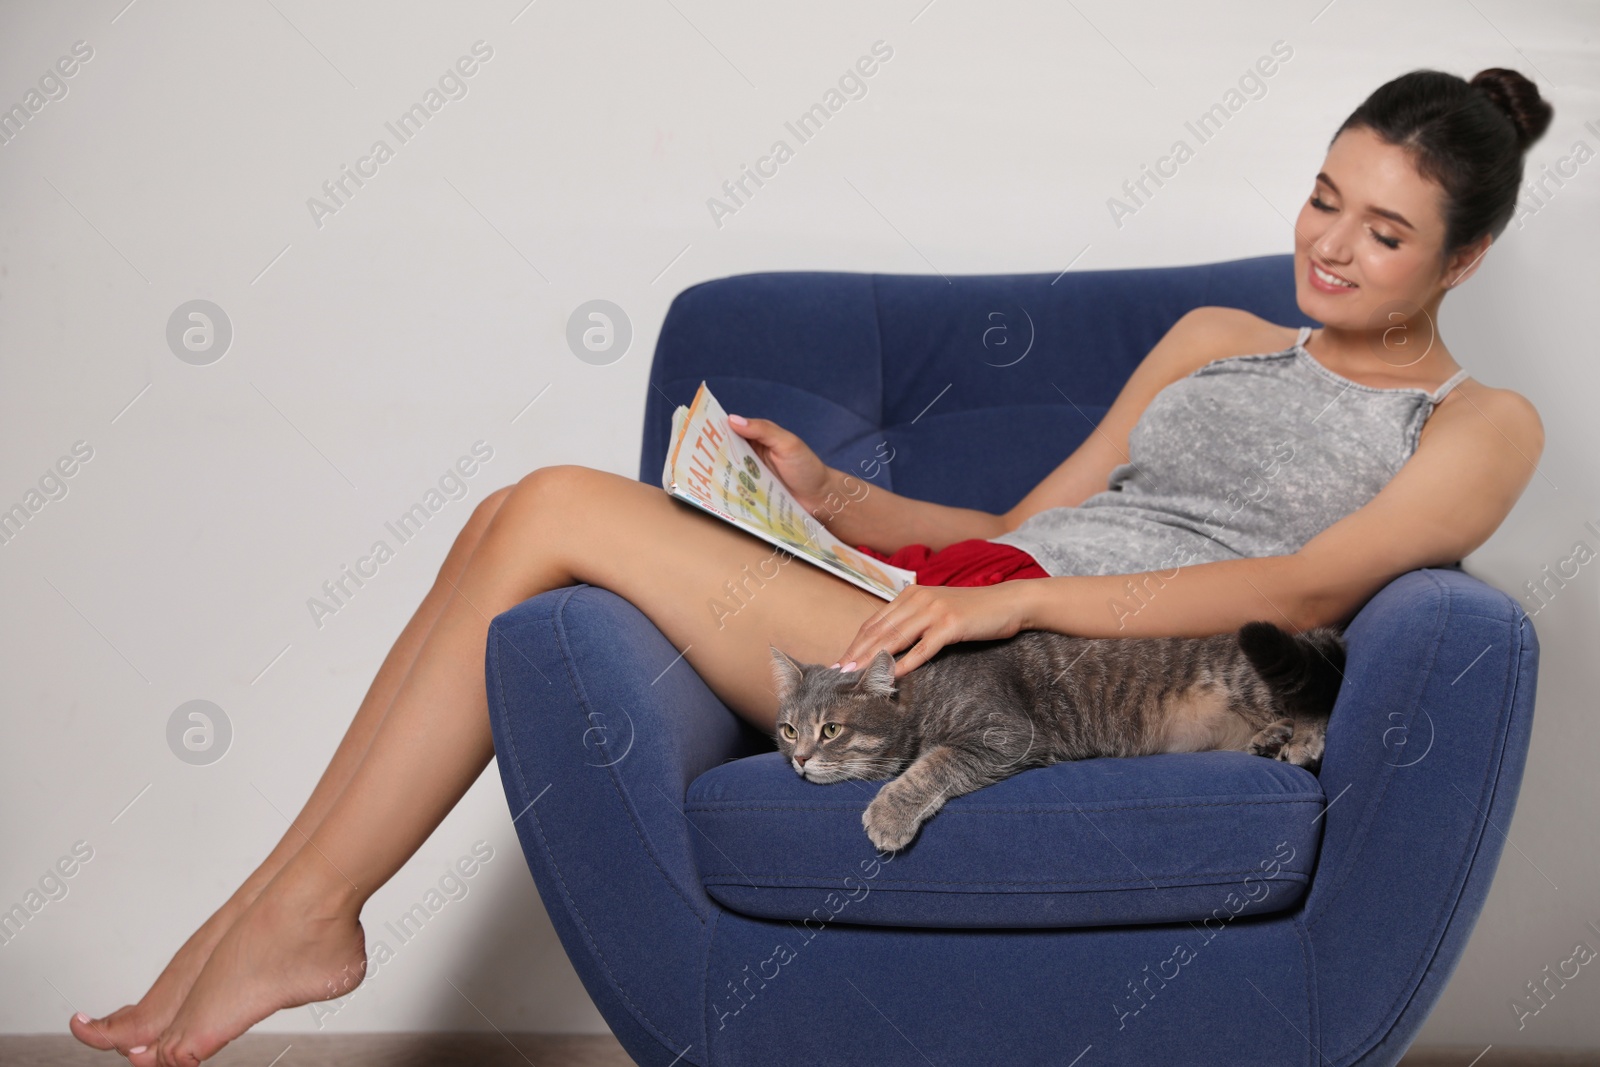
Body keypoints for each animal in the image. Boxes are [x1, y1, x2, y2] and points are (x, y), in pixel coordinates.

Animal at [768, 620, 1344, 857]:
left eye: (831, 730)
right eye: (789, 730)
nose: (799, 760)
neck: (922, 693)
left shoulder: (1006, 734)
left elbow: (933, 763)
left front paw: (890, 813)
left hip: (1251, 676)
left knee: (1319, 696)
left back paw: (1301, 738)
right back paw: (1270, 738)